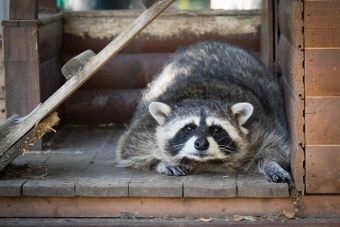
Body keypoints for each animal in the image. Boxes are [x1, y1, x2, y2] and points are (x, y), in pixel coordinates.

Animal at [117, 41, 292, 183]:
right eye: (189, 127)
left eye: (216, 129)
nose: (201, 144)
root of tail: (210, 42)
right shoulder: (145, 130)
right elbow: (129, 150)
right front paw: (162, 163)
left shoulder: (260, 126)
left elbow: (275, 146)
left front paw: (272, 164)